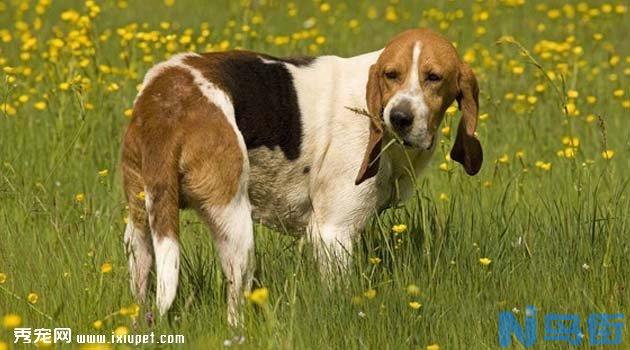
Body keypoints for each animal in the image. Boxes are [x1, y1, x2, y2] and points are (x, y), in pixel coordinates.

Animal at [122, 27, 484, 326]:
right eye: (391, 75)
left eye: (434, 77)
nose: (399, 117)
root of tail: (164, 99)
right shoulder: (333, 234)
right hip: (236, 228)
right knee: (234, 309)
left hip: (141, 228)